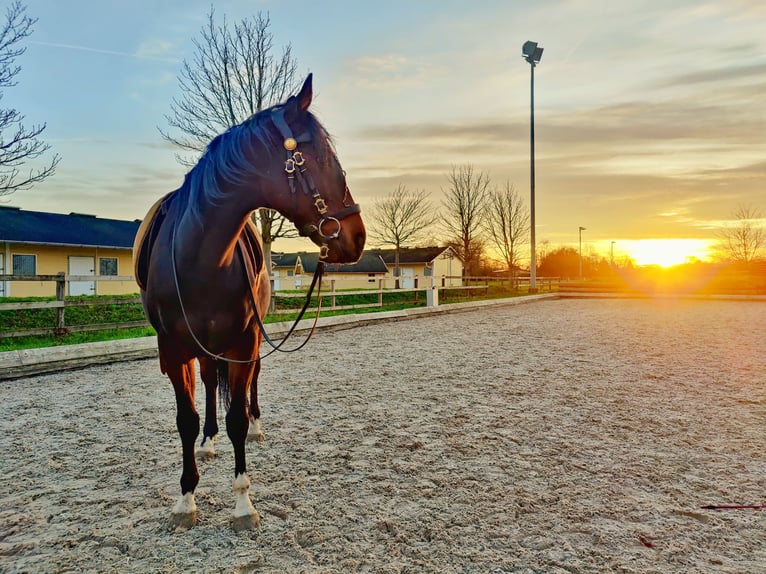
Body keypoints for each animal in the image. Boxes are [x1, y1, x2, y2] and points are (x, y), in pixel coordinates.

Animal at [134, 75, 368, 532]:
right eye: (318, 155)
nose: (358, 236)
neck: (200, 257)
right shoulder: (173, 350)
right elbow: (186, 420)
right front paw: (186, 497)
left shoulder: (243, 343)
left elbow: (238, 419)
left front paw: (243, 502)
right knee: (210, 383)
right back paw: (208, 442)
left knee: (249, 386)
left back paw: (255, 426)